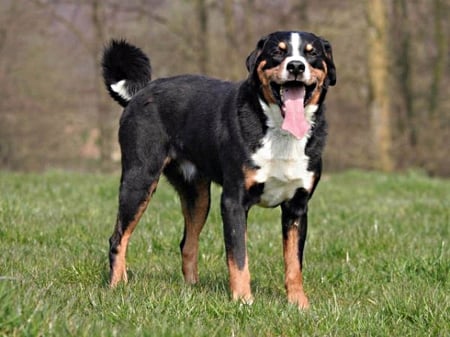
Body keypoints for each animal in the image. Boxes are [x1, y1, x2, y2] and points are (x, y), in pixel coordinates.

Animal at [102, 30, 334, 308]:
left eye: (312, 53)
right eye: (277, 52)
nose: (296, 66)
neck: (280, 134)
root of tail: (140, 93)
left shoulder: (297, 207)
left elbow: (294, 263)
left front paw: (299, 304)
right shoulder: (234, 201)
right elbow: (239, 258)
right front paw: (243, 301)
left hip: (198, 196)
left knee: (187, 244)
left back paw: (192, 289)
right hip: (139, 180)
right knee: (118, 238)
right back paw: (118, 285)